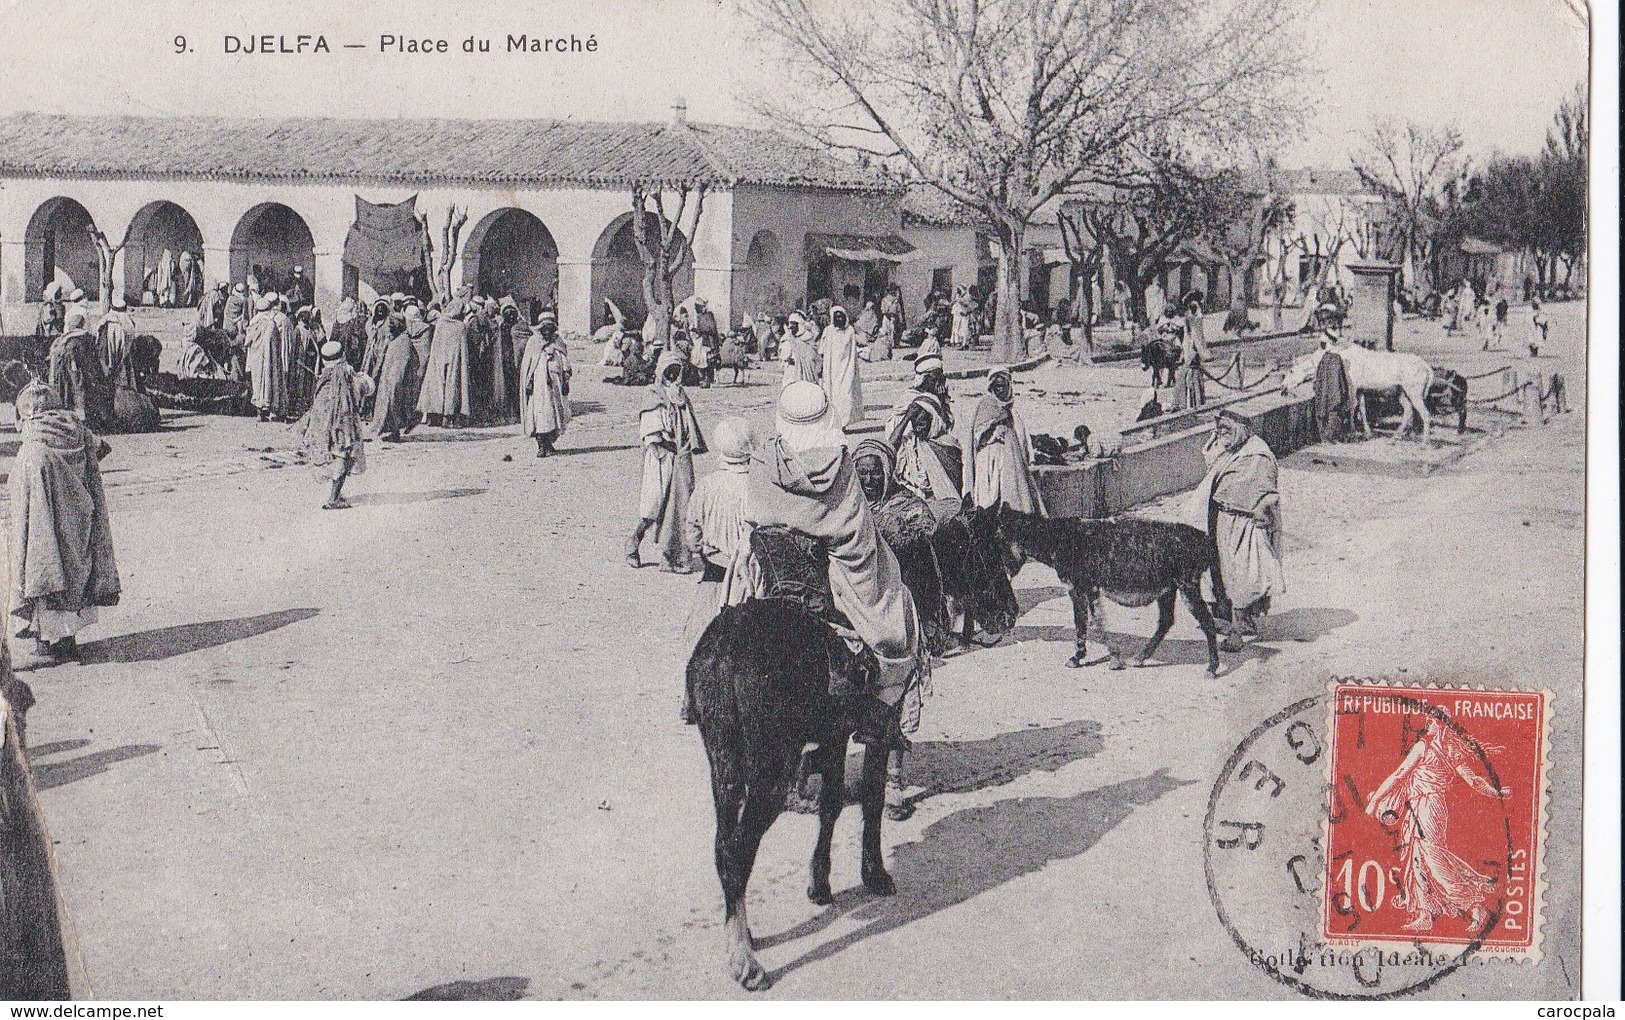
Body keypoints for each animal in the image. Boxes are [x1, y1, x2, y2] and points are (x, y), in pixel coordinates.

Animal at [1280, 344, 1436, 441]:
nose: (1283, 387)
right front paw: (1367, 432)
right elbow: (1362, 409)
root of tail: (1428, 368)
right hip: (1403, 392)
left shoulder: (1353, 386)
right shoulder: (1360, 389)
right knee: (1409, 411)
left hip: (1414, 392)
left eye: (1291, 370)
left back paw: (1424, 442)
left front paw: (1352, 431)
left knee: (1425, 414)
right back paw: (1396, 437)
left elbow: (1352, 408)